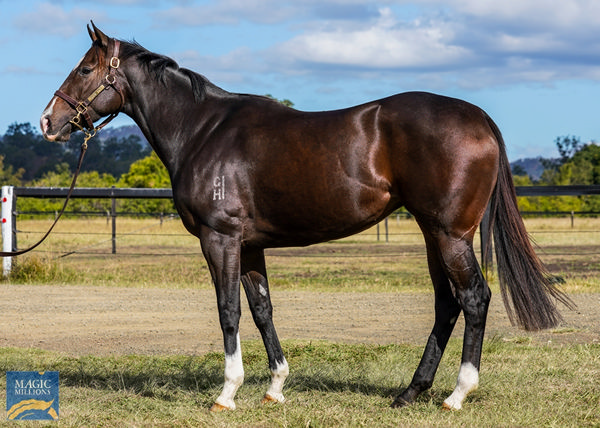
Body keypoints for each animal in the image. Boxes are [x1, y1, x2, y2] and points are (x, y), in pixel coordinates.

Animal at [39, 24, 568, 412]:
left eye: (85, 68)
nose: (47, 121)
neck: (202, 129)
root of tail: (478, 117)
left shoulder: (220, 239)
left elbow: (228, 311)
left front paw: (227, 393)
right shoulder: (250, 245)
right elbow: (261, 310)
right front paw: (274, 387)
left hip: (450, 234)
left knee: (474, 298)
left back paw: (457, 395)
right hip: (432, 233)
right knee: (447, 303)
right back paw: (409, 392)